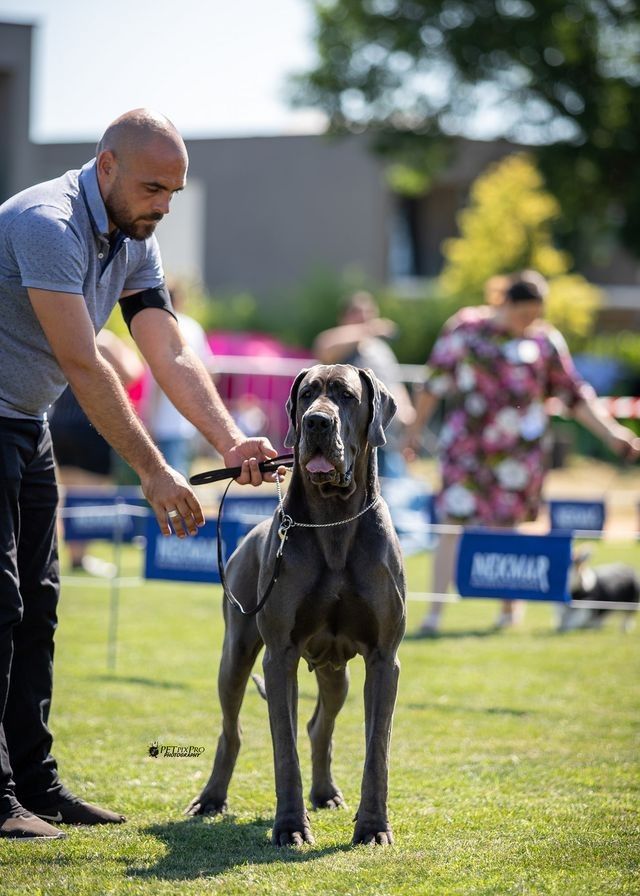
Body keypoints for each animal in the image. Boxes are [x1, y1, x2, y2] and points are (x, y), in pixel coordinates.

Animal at [186, 364, 406, 846]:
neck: (333, 520)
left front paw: (373, 827)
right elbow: (283, 748)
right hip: (236, 654)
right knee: (233, 729)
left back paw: (324, 792)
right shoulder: (280, 655)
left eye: (346, 395)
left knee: (319, 726)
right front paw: (290, 826)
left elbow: (377, 749)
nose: (316, 423)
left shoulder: (383, 658)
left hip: (336, 671)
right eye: (306, 395)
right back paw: (211, 798)